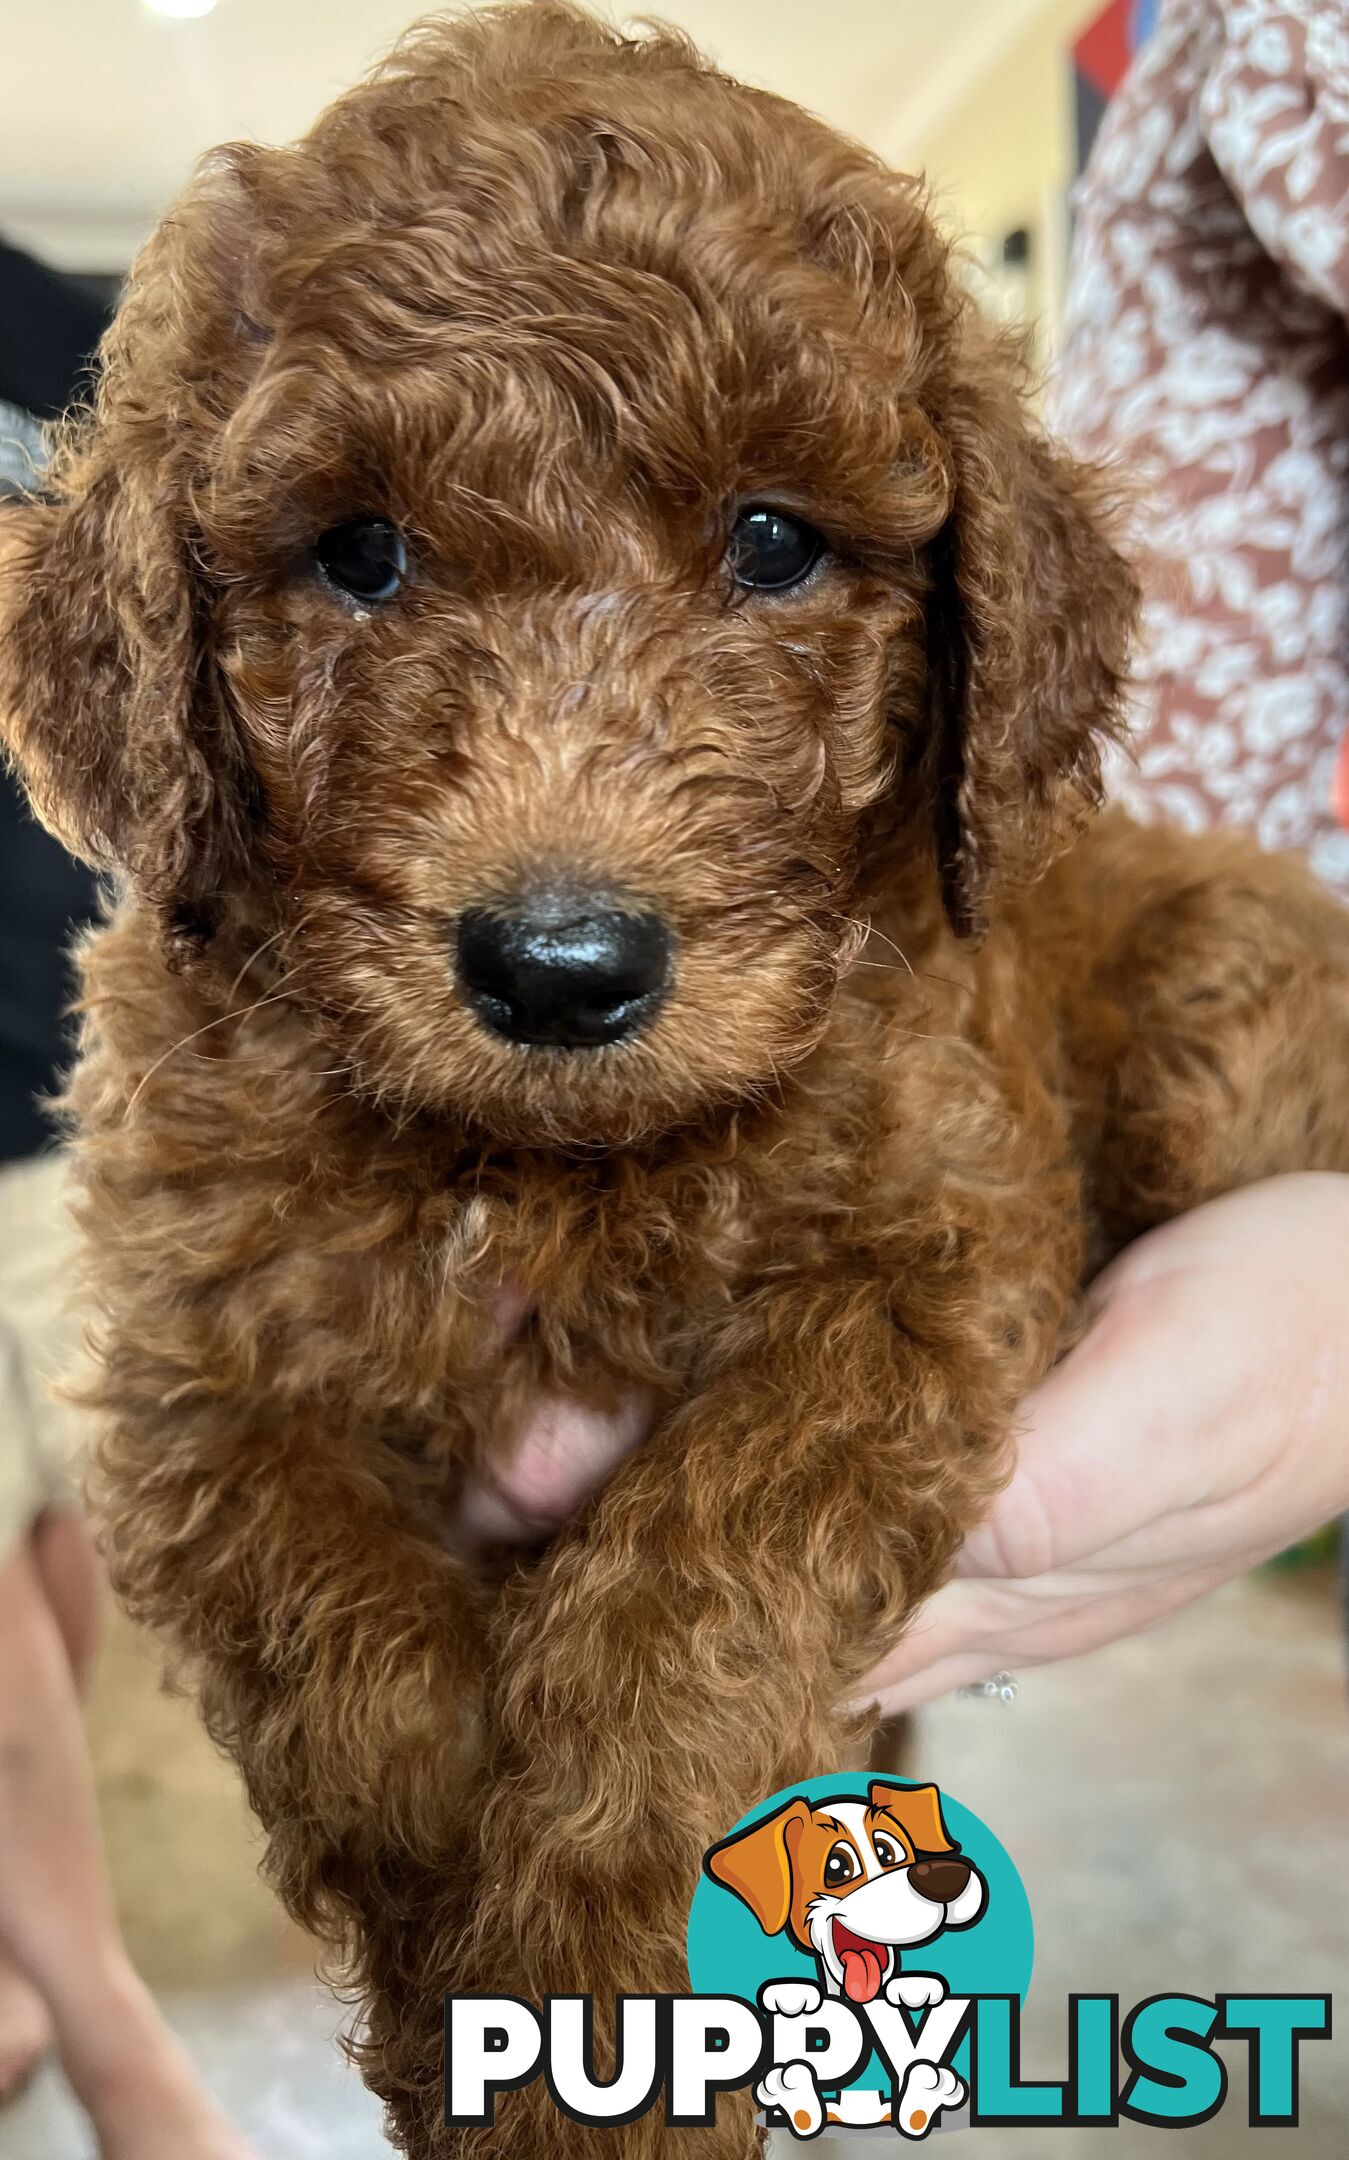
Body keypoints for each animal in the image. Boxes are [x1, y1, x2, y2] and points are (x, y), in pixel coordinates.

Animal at [2, 8, 1346, 2151]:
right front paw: (458, 1970)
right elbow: (329, 1626)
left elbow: (698, 1569)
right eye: (357, 555)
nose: (560, 969)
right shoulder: (191, 1349)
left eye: (773, 542)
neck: (543, 1164)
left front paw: (598, 2008)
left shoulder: (924, 1256)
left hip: (1217, 1036)